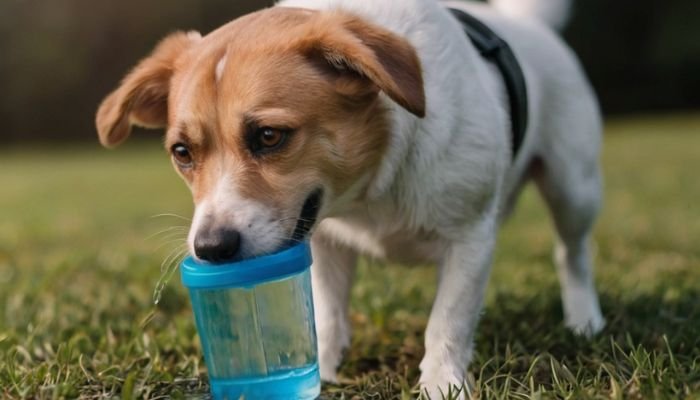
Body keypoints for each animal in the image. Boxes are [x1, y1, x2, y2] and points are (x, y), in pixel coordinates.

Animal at [95, 0, 604, 396]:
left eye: (269, 136)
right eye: (182, 152)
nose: (211, 248)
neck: (372, 185)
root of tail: (528, 24)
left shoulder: (471, 238)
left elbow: (448, 321)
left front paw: (441, 382)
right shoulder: (322, 240)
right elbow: (328, 316)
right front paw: (321, 368)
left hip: (573, 188)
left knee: (572, 253)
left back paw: (584, 318)